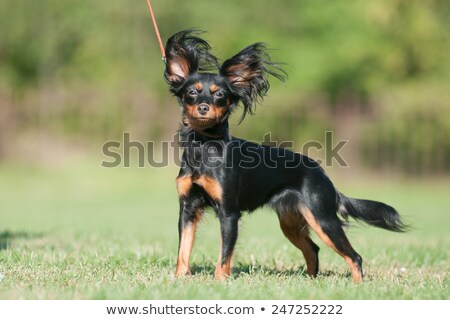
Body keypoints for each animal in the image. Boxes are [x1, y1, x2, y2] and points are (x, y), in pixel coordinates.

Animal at [163, 30, 406, 284]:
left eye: (219, 95)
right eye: (191, 92)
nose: (203, 107)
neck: (203, 144)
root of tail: (323, 174)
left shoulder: (229, 213)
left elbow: (224, 255)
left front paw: (220, 282)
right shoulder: (188, 209)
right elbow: (183, 250)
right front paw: (179, 278)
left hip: (322, 218)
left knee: (354, 256)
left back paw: (356, 285)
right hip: (292, 222)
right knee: (313, 249)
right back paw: (310, 281)